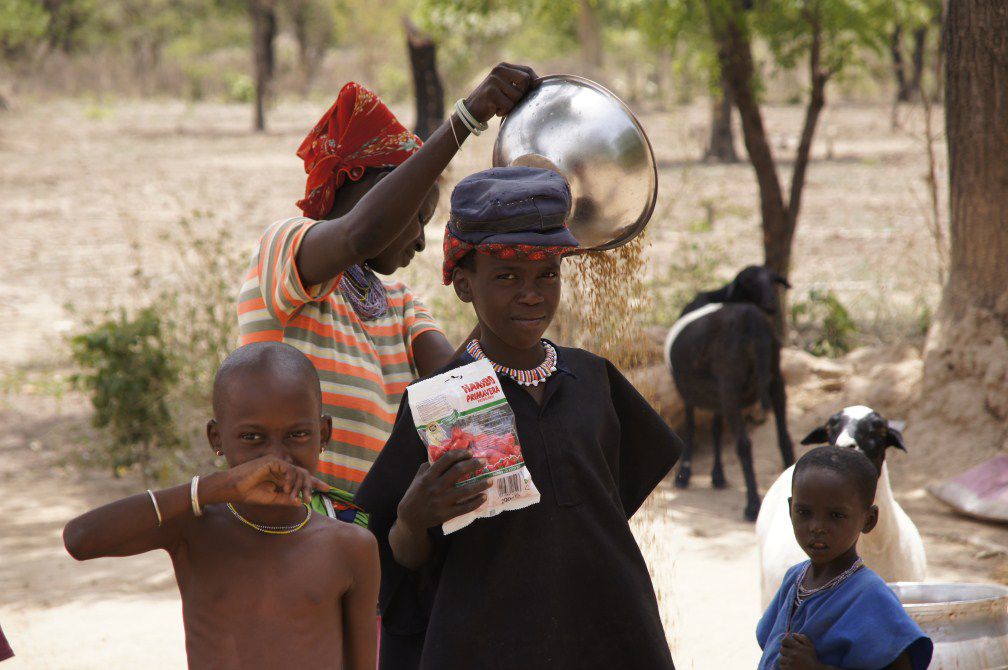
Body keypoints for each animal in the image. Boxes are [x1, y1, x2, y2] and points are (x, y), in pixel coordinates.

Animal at [665, 263, 798, 519]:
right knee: (784, 437)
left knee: (743, 444)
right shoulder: (718, 395)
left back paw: (752, 505)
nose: (772, 302)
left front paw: (684, 475)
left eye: (772, 280)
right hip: (774, 380)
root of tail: (753, 324)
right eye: (750, 282)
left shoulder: (692, 392)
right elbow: (715, 428)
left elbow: (691, 428)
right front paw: (717, 476)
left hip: (731, 386)